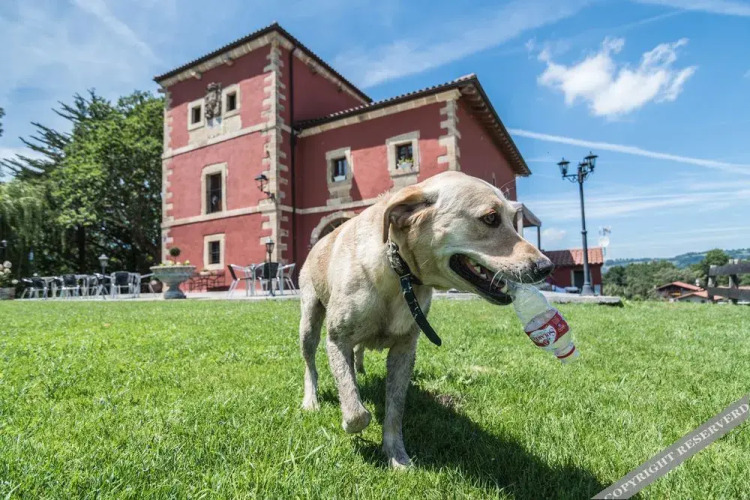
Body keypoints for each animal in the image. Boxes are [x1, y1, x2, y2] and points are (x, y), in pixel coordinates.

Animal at [298, 171, 553, 468]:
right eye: (490, 218)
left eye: (514, 219)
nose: (546, 267)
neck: (398, 271)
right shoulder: (337, 340)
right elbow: (356, 411)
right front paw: (354, 419)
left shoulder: (405, 349)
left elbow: (395, 410)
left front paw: (396, 455)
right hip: (309, 323)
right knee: (311, 365)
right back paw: (311, 400)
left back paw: (359, 369)